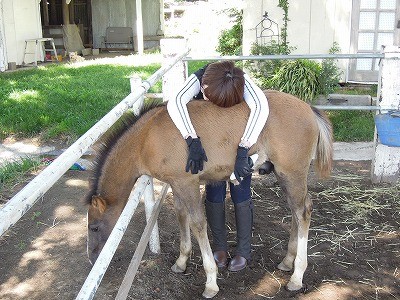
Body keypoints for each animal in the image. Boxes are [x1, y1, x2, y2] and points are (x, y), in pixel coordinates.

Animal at [86, 90, 332, 298]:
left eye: (94, 227)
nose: (92, 259)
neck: (147, 138)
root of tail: (309, 109)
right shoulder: (176, 184)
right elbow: (181, 215)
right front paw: (181, 262)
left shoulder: (188, 183)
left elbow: (198, 224)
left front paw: (211, 282)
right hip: (285, 175)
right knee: (296, 210)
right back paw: (287, 261)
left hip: (291, 173)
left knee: (303, 211)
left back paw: (297, 276)